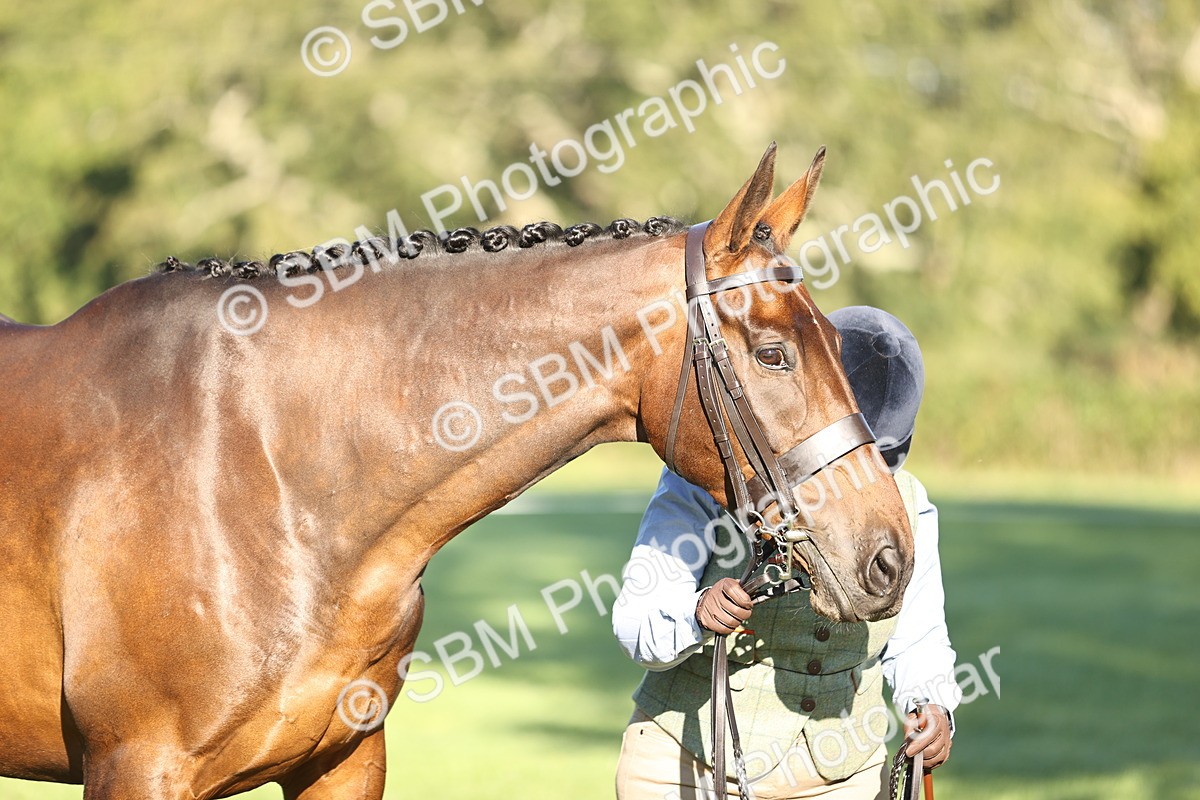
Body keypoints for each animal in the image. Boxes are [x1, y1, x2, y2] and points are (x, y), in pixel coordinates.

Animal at [0, 143, 914, 799]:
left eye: (833, 343)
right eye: (772, 354)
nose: (889, 557)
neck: (262, 472)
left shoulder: (344, 762)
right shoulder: (138, 768)